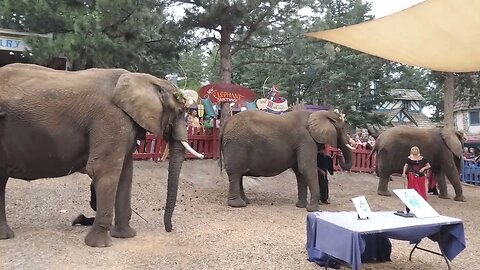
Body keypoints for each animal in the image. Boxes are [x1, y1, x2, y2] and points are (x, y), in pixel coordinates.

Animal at [0, 62, 204, 247]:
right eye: (180, 111)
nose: (170, 229)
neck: (144, 79)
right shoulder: (111, 118)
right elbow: (105, 171)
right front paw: (99, 245)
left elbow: (125, 175)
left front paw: (125, 236)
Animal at [218, 109, 352, 211]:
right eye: (342, 128)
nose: (338, 153)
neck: (317, 114)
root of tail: (225, 124)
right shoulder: (306, 140)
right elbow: (306, 167)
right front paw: (312, 209)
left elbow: (300, 172)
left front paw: (301, 206)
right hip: (236, 145)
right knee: (235, 174)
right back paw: (238, 205)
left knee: (238, 174)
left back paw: (246, 201)